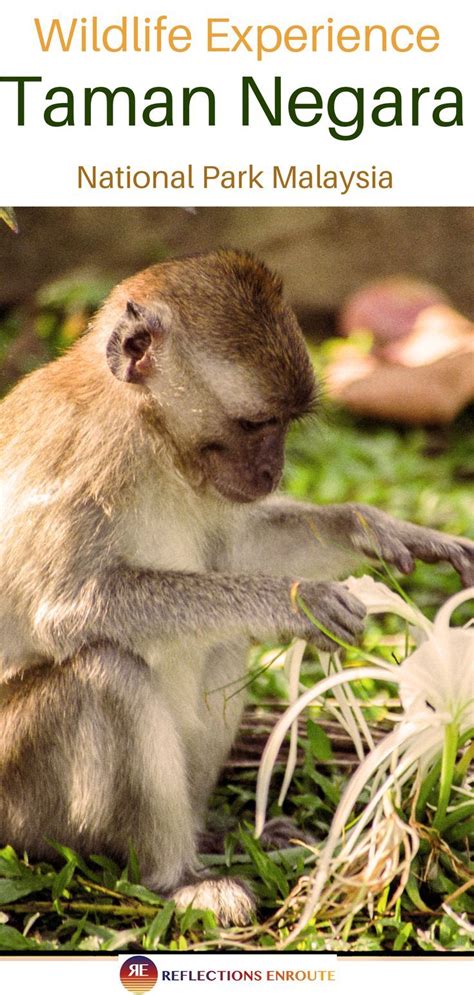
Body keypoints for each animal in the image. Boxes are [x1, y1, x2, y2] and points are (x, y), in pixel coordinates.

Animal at [0, 251, 474, 924]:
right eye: (256, 423)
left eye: (284, 425)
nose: (273, 470)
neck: (150, 433)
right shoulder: (89, 460)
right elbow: (65, 610)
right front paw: (296, 601)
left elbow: (238, 551)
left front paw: (377, 527)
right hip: (20, 792)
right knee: (108, 670)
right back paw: (177, 877)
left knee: (219, 642)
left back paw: (210, 835)